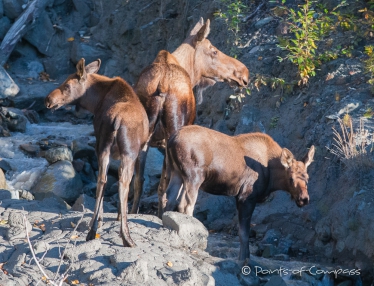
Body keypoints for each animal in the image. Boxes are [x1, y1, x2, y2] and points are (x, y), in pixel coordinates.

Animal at [44, 58, 148, 248]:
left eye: (67, 85)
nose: (48, 99)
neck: (95, 102)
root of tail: (116, 120)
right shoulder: (141, 148)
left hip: (104, 146)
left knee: (102, 180)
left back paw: (93, 230)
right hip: (128, 152)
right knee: (122, 182)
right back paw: (126, 236)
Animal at [132, 17, 251, 214]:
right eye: (214, 51)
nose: (244, 73)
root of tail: (162, 84)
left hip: (143, 133)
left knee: (135, 179)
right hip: (173, 132)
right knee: (167, 187)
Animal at [162, 125, 314, 260]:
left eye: (307, 177)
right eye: (291, 178)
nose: (304, 199)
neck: (272, 177)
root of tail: (171, 139)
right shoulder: (246, 196)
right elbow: (244, 233)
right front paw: (243, 259)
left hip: (176, 172)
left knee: (168, 199)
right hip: (194, 176)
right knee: (186, 205)